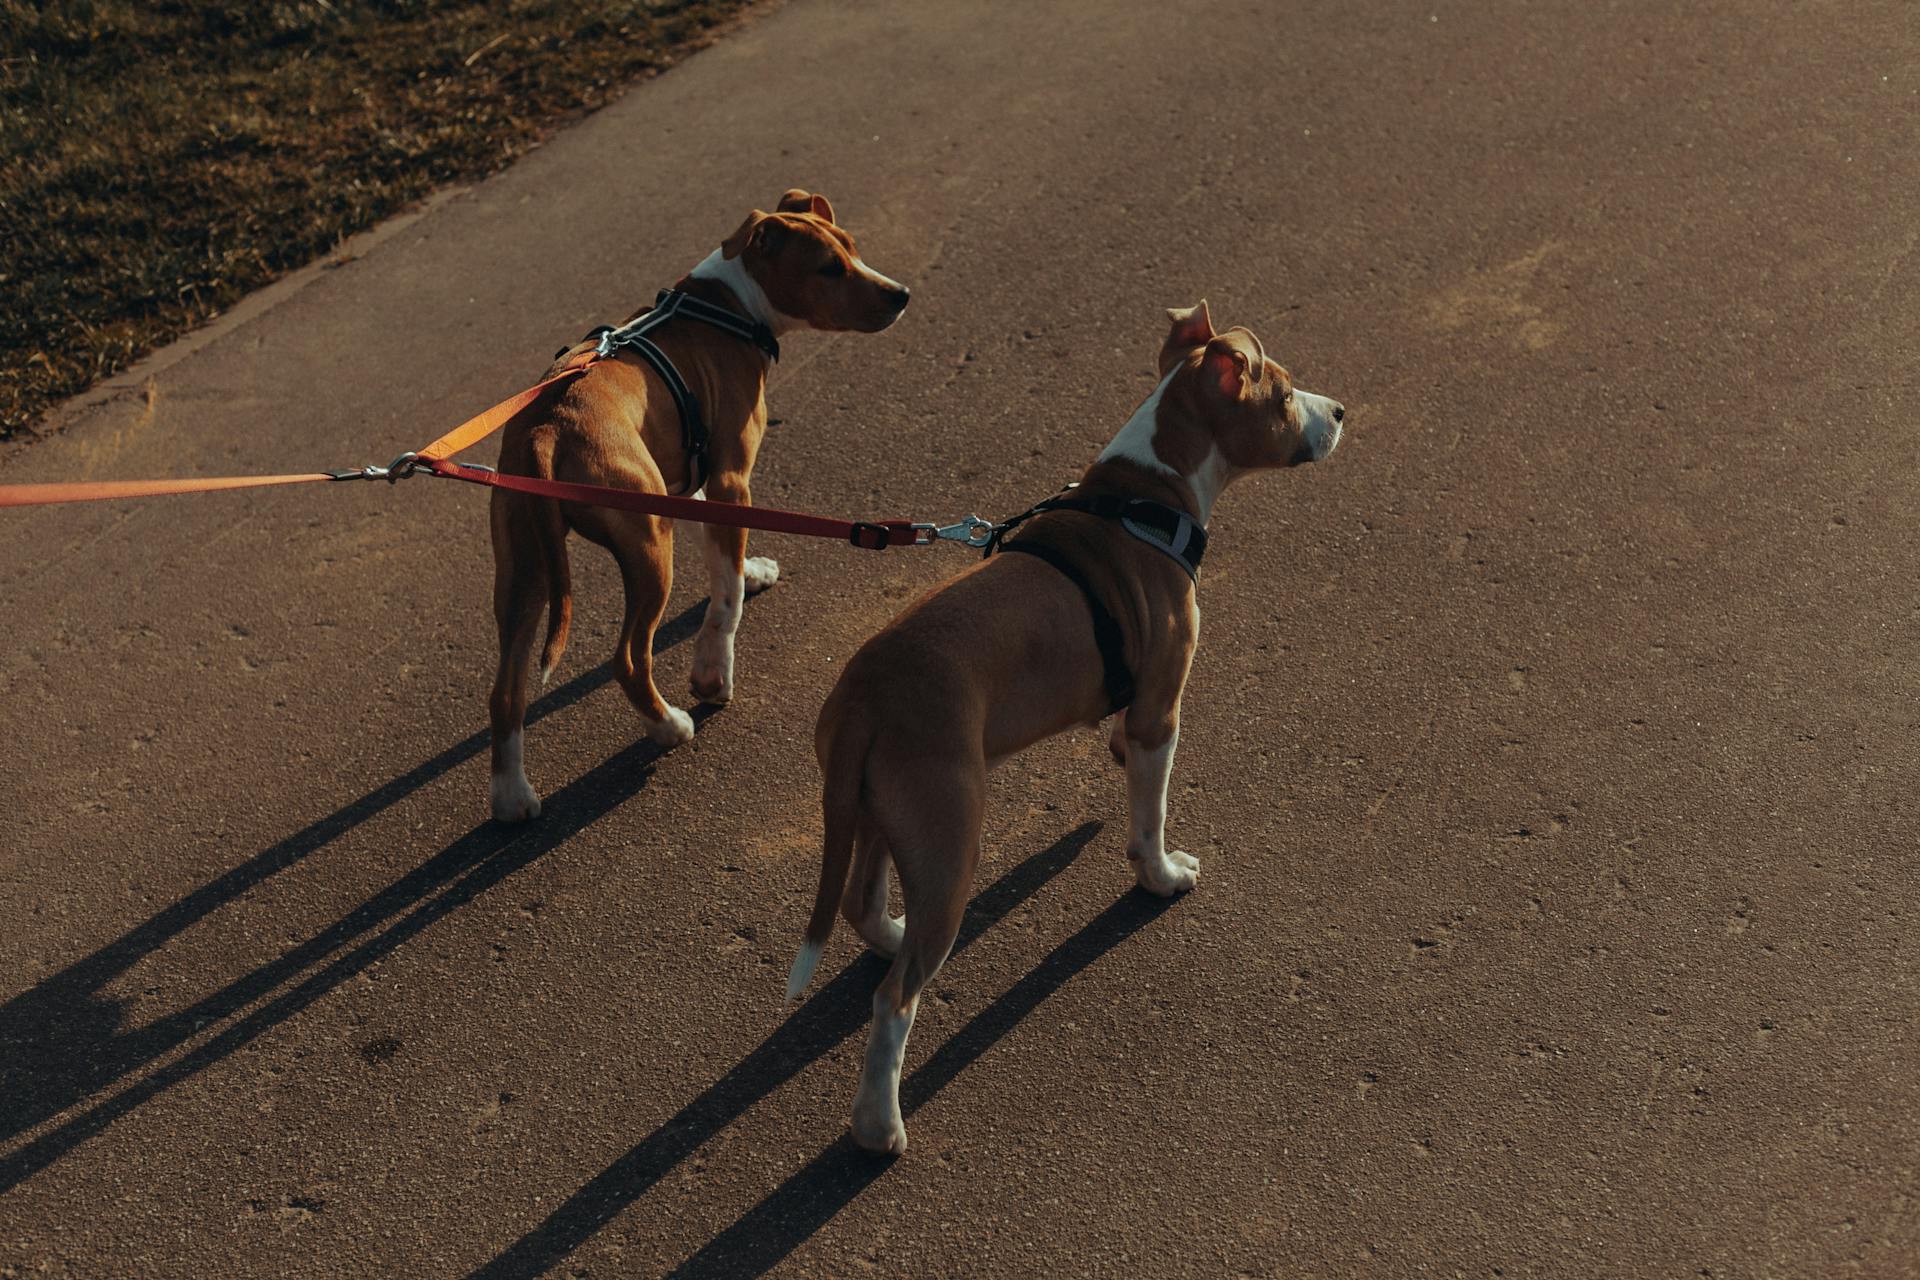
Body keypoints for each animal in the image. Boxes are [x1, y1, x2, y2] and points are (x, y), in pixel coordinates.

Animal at [487, 188, 906, 821]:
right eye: (829, 267)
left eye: (852, 247)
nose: (900, 295)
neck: (729, 304)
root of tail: (547, 428)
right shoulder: (733, 475)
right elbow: (725, 598)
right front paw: (713, 673)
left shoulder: (702, 476)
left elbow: (725, 547)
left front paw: (752, 569)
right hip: (648, 543)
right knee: (629, 658)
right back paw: (670, 727)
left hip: (524, 566)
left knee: (506, 688)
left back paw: (512, 797)